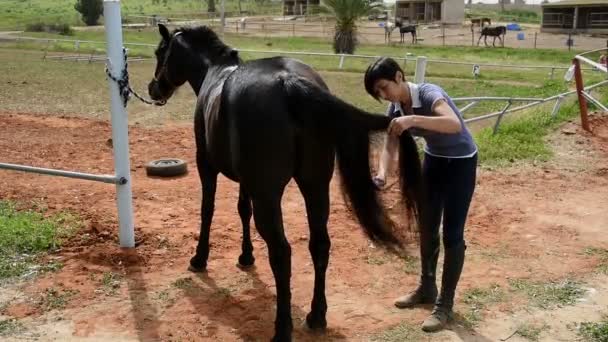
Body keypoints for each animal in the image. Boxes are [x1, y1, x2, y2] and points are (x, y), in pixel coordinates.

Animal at [147, 23, 422, 340]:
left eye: (160, 53)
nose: (153, 88)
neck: (215, 72)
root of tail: (289, 82)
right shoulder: (247, 182)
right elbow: (242, 210)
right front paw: (246, 256)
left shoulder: (207, 166)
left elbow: (208, 210)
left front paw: (199, 258)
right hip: (315, 187)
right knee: (320, 245)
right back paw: (316, 316)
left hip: (270, 196)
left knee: (281, 253)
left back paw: (282, 327)